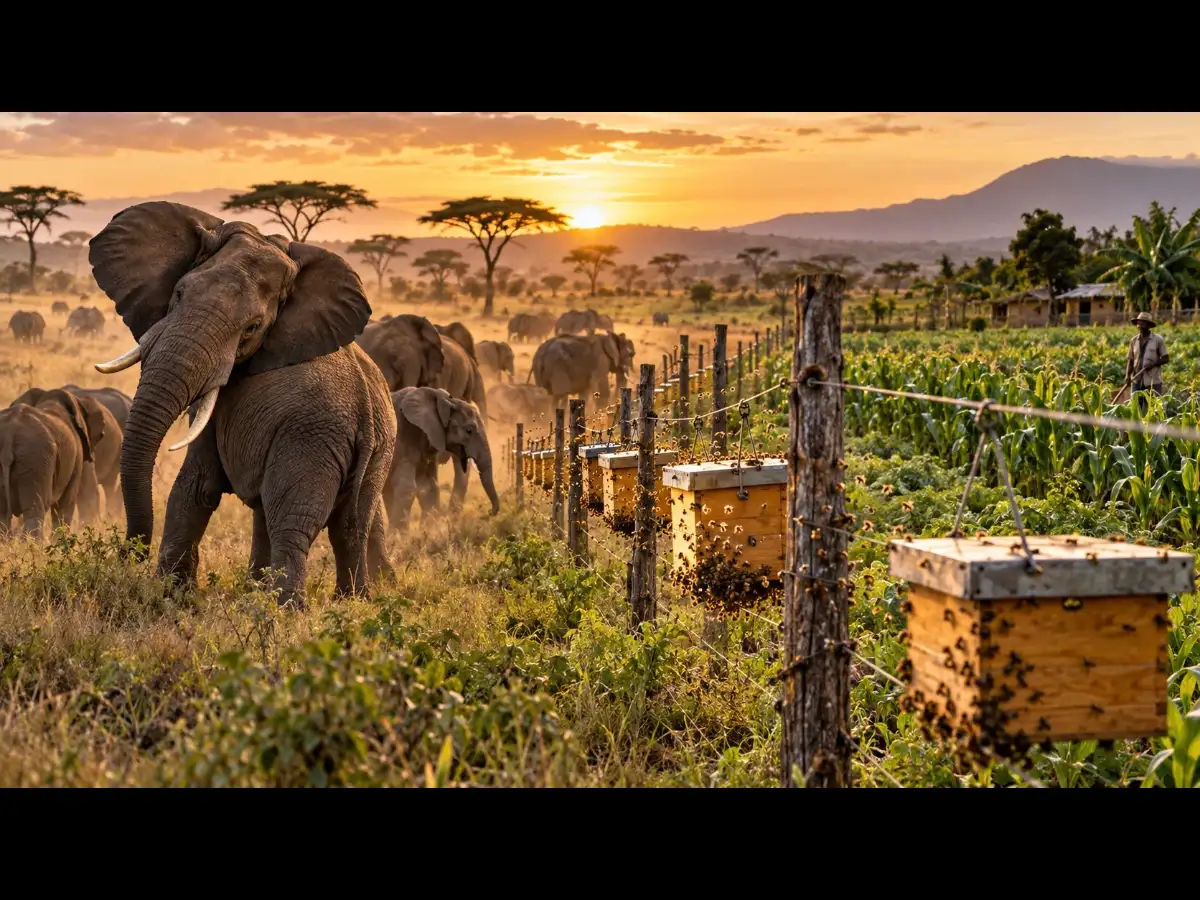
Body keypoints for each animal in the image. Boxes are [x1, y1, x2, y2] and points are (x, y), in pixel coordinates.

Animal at [87, 200, 397, 607]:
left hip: (308, 442)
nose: (129, 552)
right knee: (351, 526)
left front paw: (168, 594)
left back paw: (286, 610)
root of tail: (365, 418)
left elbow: (195, 487)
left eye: (251, 328)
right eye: (178, 293)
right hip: (378, 454)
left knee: (289, 524)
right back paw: (352, 602)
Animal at [383, 387, 499, 531]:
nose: (490, 512)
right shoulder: (404, 436)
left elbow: (429, 485)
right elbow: (405, 486)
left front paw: (429, 531)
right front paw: (400, 535)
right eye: (469, 430)